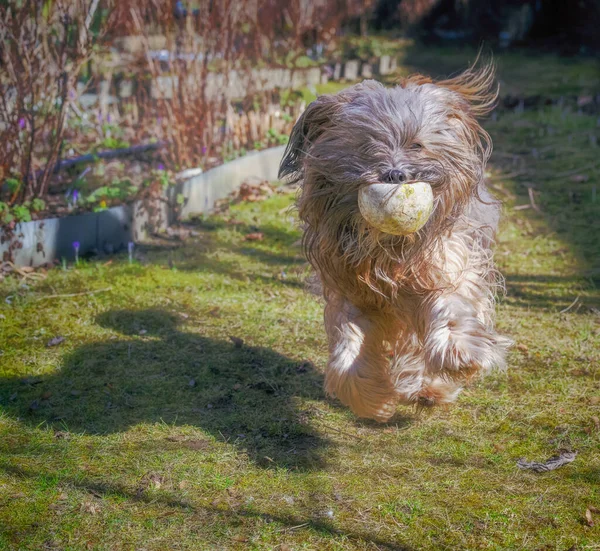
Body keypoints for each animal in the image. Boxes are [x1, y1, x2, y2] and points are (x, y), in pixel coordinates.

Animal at [278, 61, 510, 422]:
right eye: (366, 145)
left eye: (417, 145)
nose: (396, 175)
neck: (388, 249)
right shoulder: (351, 290)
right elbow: (347, 343)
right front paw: (369, 396)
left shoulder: (445, 266)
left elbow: (450, 306)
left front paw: (457, 352)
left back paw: (430, 387)